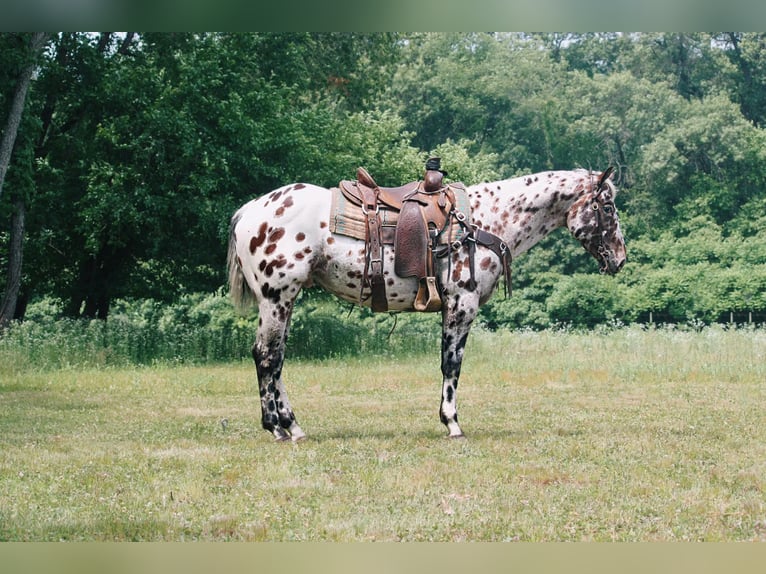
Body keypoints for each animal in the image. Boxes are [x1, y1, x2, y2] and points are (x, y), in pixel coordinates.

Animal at [225, 166, 628, 440]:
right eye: (608, 207)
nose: (621, 259)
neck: (485, 220)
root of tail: (249, 212)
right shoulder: (462, 305)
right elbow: (452, 365)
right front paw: (452, 423)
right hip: (277, 298)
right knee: (266, 356)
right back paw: (276, 427)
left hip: (284, 301)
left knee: (276, 359)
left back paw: (292, 425)